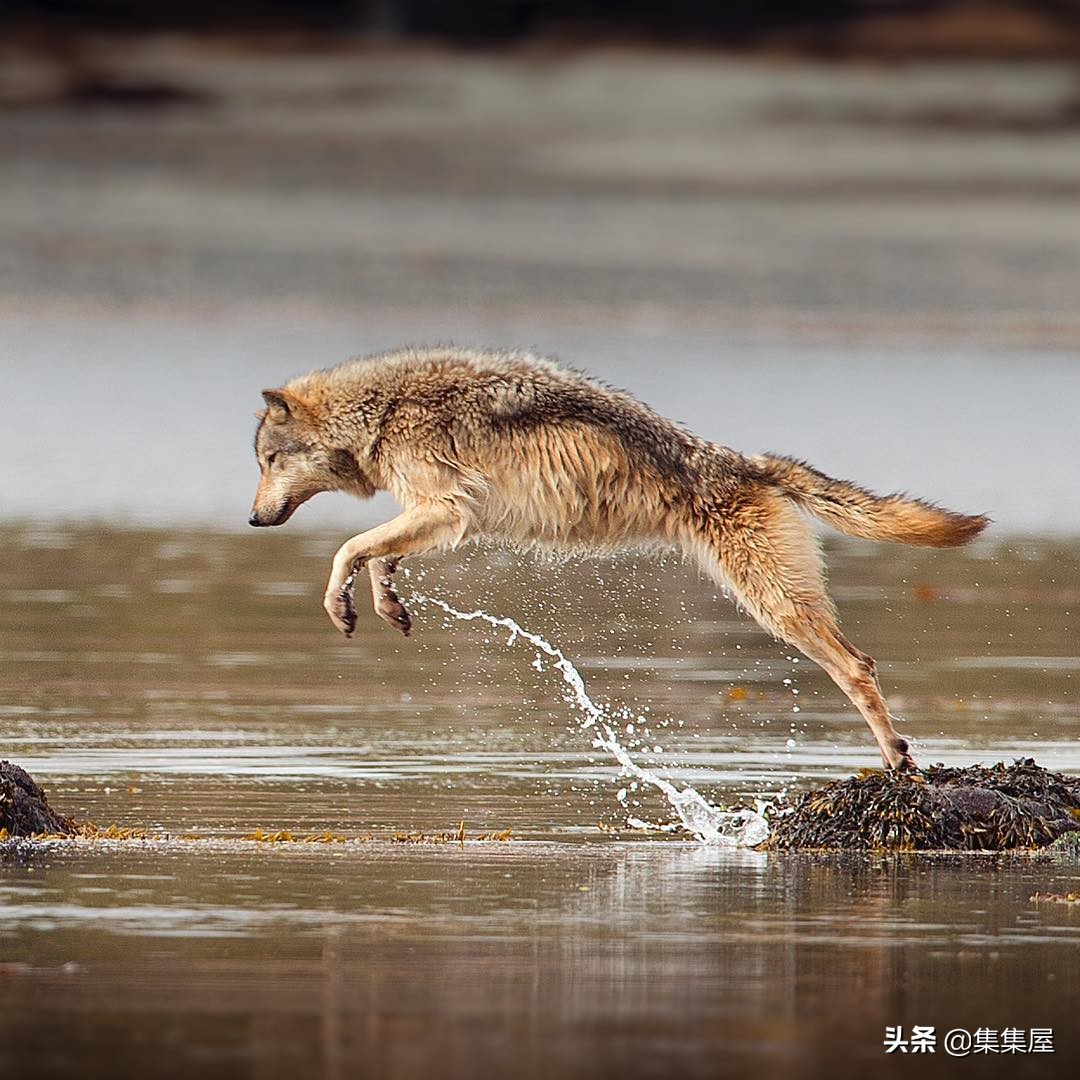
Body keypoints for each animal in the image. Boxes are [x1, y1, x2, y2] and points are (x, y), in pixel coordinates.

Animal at [250, 345, 989, 768]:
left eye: (266, 461)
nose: (253, 519)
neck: (382, 409)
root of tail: (750, 463)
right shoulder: (436, 517)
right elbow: (377, 555)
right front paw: (386, 603)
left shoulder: (447, 510)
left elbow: (347, 548)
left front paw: (342, 604)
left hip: (777, 608)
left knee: (859, 668)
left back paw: (897, 757)